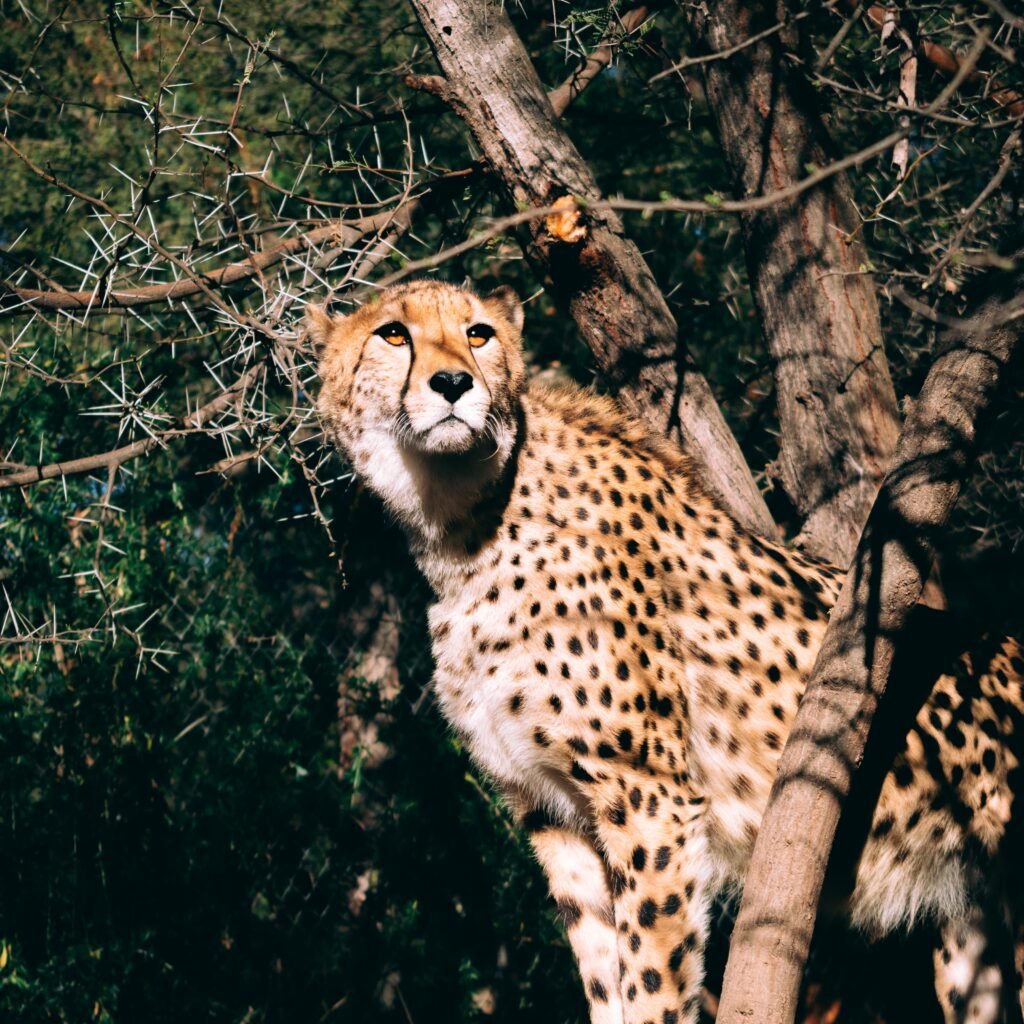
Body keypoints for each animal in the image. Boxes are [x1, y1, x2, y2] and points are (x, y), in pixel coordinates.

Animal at [310, 279, 1024, 1024]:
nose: (453, 383)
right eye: (393, 334)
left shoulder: (648, 795)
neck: (463, 530)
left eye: (479, 334)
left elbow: (650, 975)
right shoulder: (552, 812)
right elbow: (605, 975)